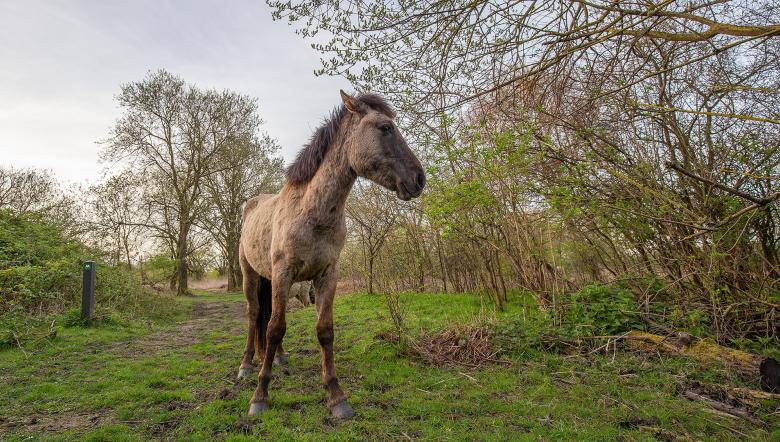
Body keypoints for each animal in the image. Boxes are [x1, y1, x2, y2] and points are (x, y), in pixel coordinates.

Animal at [236, 90, 424, 418]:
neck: (311, 212)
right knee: (255, 314)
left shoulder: (327, 274)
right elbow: (274, 329)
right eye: (385, 128)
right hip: (251, 275)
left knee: (269, 317)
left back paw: (280, 358)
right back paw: (246, 366)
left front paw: (336, 396)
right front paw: (260, 396)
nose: (419, 178)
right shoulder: (284, 273)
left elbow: (324, 331)